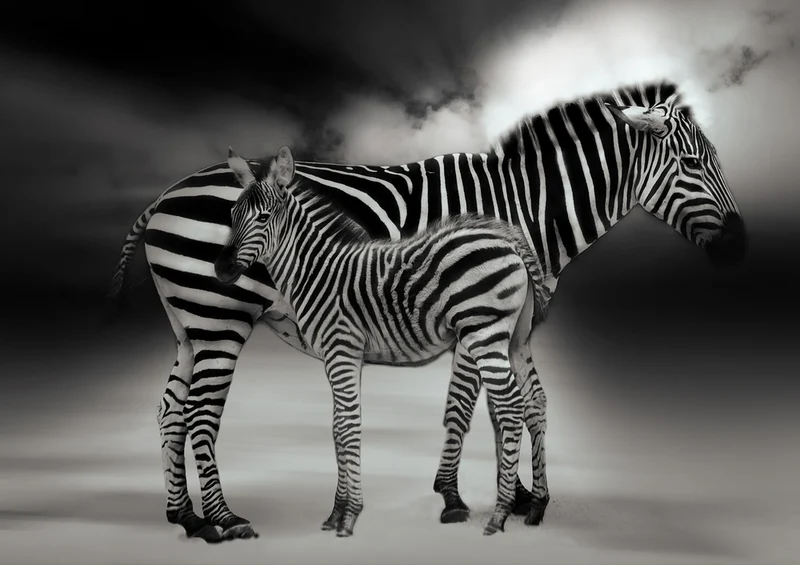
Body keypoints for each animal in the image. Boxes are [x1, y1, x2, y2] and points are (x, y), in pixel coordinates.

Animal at [214, 145, 550, 537]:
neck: (316, 270)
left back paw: (499, 515)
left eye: (264, 217)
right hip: (515, 338)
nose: (221, 269)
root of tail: (508, 240)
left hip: (484, 332)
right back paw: (536, 507)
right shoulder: (340, 355)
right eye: (231, 215)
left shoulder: (342, 348)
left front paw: (348, 516)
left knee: (510, 407)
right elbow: (338, 427)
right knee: (533, 401)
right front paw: (336, 513)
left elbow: (347, 427)